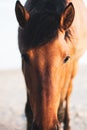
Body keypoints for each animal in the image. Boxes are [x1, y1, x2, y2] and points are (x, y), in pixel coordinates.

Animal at [14, 0, 87, 130]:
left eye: (66, 58)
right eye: (24, 57)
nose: (46, 126)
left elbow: (61, 110)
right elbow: (28, 111)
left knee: (68, 95)